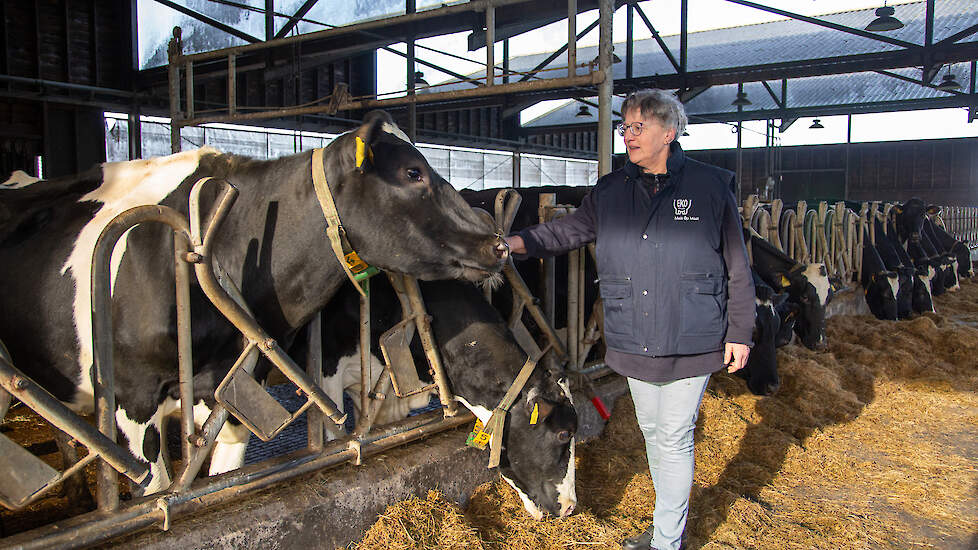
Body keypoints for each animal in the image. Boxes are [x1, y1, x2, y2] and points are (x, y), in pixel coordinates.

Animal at [0, 112, 508, 496]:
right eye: (412, 173)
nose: (500, 244)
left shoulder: (236, 399)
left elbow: (225, 475)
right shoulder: (131, 400)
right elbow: (158, 487)